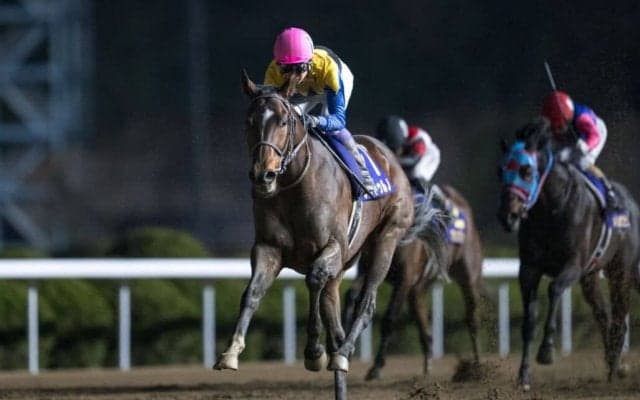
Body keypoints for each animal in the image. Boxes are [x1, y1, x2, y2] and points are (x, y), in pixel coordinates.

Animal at [214, 71, 444, 398]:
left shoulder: (332, 248)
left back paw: (345, 352)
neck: (295, 186)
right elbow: (252, 292)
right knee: (336, 317)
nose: (263, 175)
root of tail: (391, 161)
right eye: (249, 121)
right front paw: (230, 352)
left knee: (366, 302)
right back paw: (339, 359)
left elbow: (313, 280)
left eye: (283, 121)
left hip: (385, 241)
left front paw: (313, 352)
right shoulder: (268, 249)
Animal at [344, 185, 483, 380]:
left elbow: (389, 319)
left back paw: (476, 367)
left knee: (472, 319)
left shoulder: (404, 279)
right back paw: (428, 368)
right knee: (425, 328)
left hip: (468, 276)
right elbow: (351, 296)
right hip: (418, 290)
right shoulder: (368, 270)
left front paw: (376, 367)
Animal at [497, 117, 640, 391]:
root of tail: (632, 204)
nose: (507, 217)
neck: (551, 209)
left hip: (622, 270)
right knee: (603, 315)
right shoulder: (529, 269)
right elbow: (528, 321)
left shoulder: (572, 265)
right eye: (500, 171)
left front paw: (547, 351)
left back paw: (614, 368)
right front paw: (523, 376)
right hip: (591, 277)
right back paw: (612, 362)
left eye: (527, 171)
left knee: (619, 316)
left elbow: (554, 290)